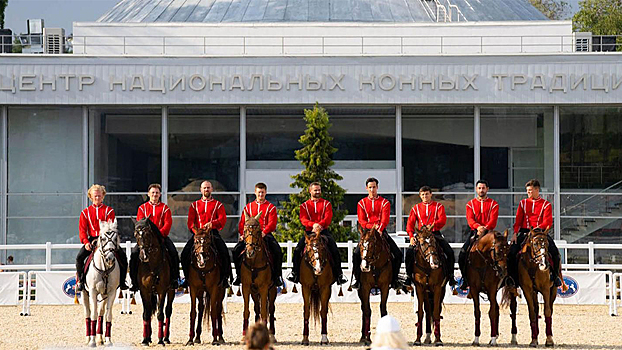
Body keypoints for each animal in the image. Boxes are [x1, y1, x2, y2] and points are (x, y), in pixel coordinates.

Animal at [82, 219, 121, 348]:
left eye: (115, 238)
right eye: (103, 238)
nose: (110, 259)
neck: (104, 269)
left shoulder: (112, 293)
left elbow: (108, 315)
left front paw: (108, 340)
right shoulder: (93, 292)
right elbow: (93, 314)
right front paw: (92, 341)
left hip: (104, 295)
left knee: (101, 313)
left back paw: (100, 338)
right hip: (84, 293)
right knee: (88, 313)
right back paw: (88, 338)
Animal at [134, 217, 176, 346]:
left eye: (147, 234)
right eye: (135, 234)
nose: (143, 256)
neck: (152, 264)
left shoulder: (162, 291)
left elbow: (160, 314)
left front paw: (160, 339)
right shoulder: (144, 291)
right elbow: (146, 314)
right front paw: (145, 339)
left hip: (171, 291)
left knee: (168, 311)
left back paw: (166, 337)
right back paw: (149, 337)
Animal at [241, 212, 278, 344]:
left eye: (258, 231)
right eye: (245, 230)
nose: (250, 252)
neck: (254, 262)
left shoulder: (264, 288)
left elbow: (264, 312)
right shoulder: (246, 287)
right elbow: (247, 311)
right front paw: (244, 335)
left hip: (272, 291)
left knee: (271, 310)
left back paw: (272, 334)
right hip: (254, 292)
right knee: (257, 308)